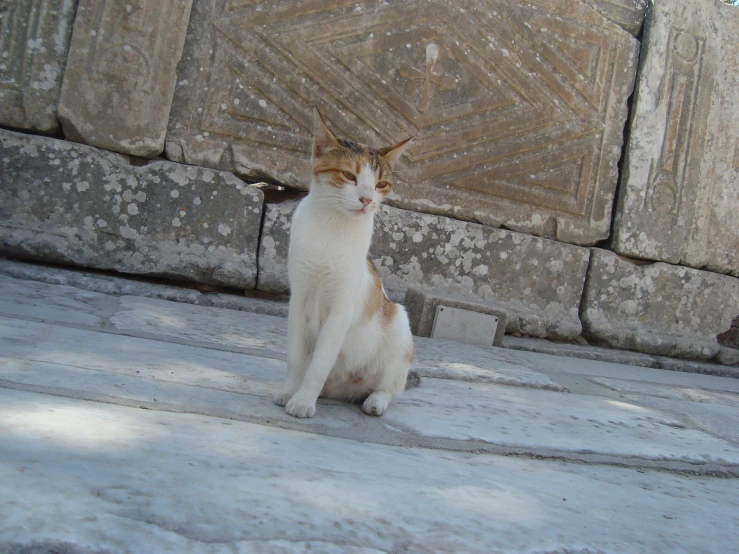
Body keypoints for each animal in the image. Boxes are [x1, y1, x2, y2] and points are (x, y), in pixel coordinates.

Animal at [276, 108, 420, 416]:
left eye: (381, 184)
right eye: (348, 175)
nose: (367, 200)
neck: (332, 227)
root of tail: (343, 390)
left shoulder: (340, 310)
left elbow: (319, 363)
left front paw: (303, 400)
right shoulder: (298, 299)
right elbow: (296, 358)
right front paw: (290, 391)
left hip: (400, 324)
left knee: (390, 387)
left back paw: (375, 402)